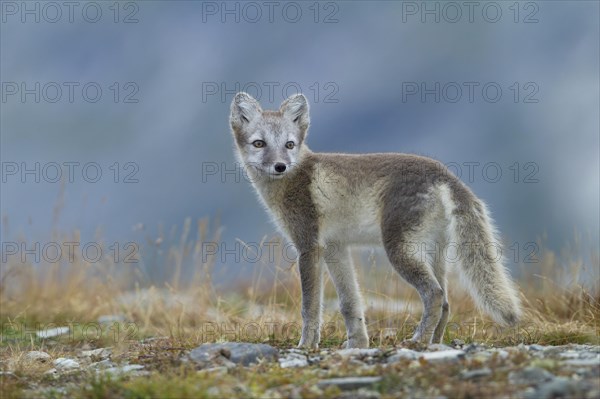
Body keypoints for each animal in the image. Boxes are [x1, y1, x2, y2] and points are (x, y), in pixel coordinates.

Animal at [230, 92, 520, 348]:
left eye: (289, 145)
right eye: (259, 143)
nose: (280, 166)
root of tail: (446, 175)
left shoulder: (308, 246)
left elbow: (310, 307)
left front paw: (306, 345)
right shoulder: (335, 248)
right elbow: (350, 303)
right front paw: (357, 344)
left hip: (400, 250)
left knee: (435, 295)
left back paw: (418, 341)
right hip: (434, 254)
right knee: (447, 303)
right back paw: (435, 342)